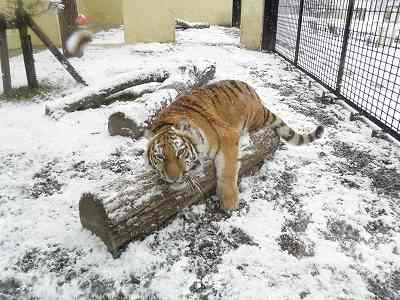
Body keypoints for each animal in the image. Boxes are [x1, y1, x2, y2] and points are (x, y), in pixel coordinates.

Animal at [145, 79, 324, 211]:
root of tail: (257, 98)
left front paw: (229, 202)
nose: (174, 178)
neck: (166, 124)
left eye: (180, 152)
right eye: (160, 156)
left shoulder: (227, 135)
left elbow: (227, 171)